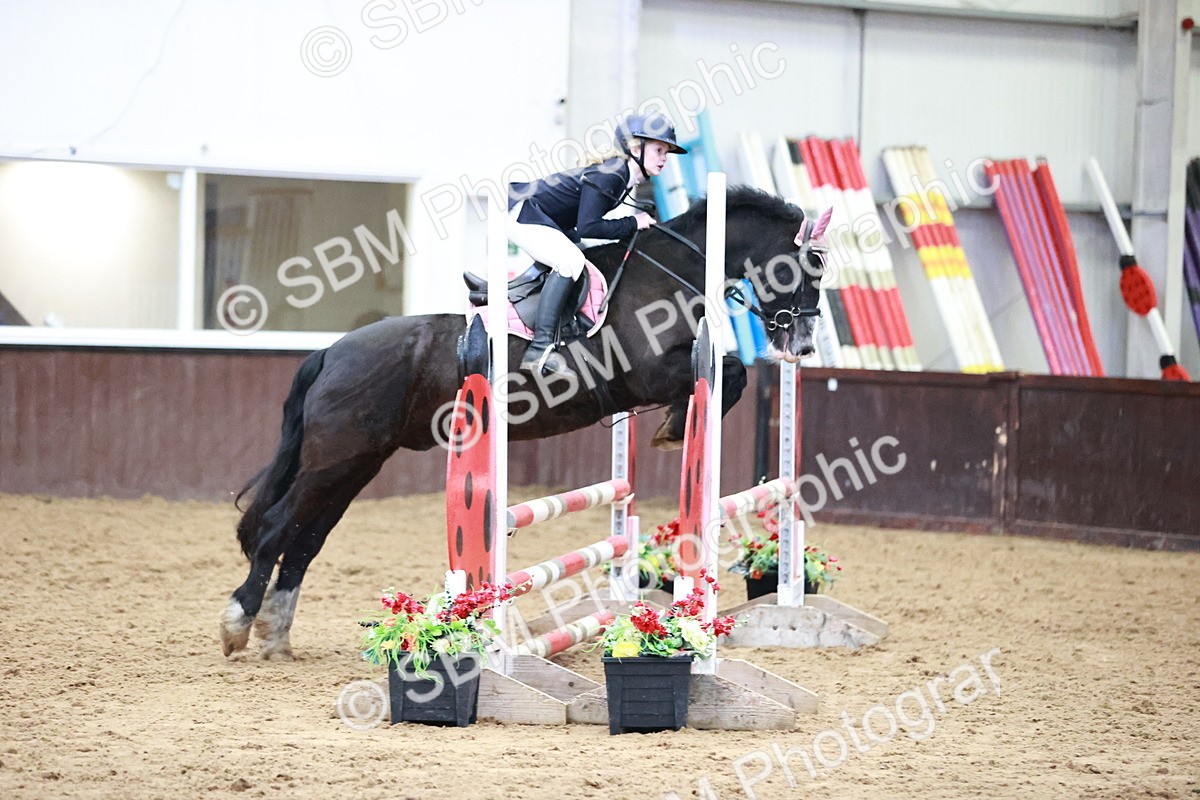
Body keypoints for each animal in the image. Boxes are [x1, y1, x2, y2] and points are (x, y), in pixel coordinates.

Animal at [220, 186, 825, 659]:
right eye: (810, 269)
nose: (802, 346)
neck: (669, 273)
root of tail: (330, 352)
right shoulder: (650, 374)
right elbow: (733, 373)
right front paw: (677, 428)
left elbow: (731, 375)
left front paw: (673, 427)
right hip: (334, 459)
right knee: (277, 530)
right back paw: (239, 623)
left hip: (356, 462)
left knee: (305, 538)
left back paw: (275, 636)